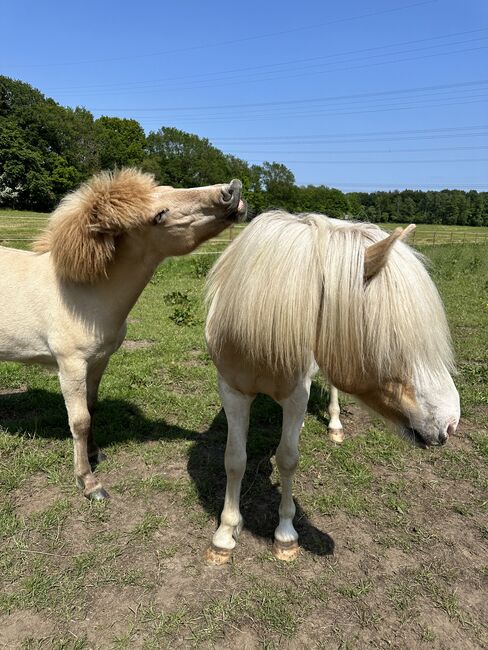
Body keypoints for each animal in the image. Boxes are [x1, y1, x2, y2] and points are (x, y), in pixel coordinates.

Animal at [0, 166, 246, 496]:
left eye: (170, 189)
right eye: (159, 215)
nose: (231, 191)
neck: (84, 291)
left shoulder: (98, 361)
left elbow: (92, 409)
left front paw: (94, 454)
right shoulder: (71, 366)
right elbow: (79, 420)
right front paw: (88, 482)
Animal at [204, 210, 460, 560]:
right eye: (393, 339)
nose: (451, 422)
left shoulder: (296, 396)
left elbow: (288, 458)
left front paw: (286, 535)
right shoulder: (232, 392)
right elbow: (234, 460)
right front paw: (225, 533)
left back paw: (335, 426)